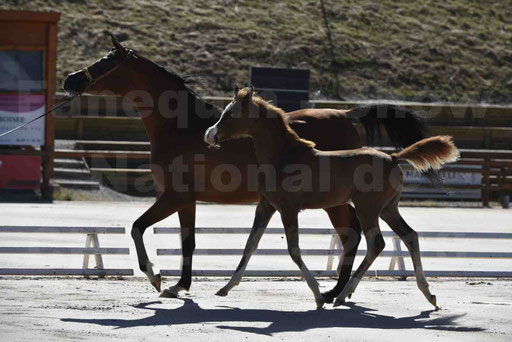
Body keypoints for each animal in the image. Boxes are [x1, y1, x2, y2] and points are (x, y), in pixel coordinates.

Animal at [64, 34, 430, 302]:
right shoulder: (186, 200)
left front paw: (155, 276)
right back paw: (335, 291)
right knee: (355, 236)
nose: (70, 80)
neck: (183, 128)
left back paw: (335, 292)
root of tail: (346, 113)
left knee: (352, 235)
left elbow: (138, 227)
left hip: (336, 202)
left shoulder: (172, 197)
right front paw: (179, 285)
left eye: (105, 62)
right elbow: (188, 241)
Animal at [206, 86, 458, 310]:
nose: (209, 135)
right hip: (388, 209)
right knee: (410, 236)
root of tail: (394, 158)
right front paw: (225, 288)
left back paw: (342, 294)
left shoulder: (288, 208)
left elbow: (294, 249)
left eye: (230, 114)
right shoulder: (266, 205)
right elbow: (250, 244)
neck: (285, 156)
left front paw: (318, 296)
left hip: (368, 209)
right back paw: (428, 294)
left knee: (376, 243)